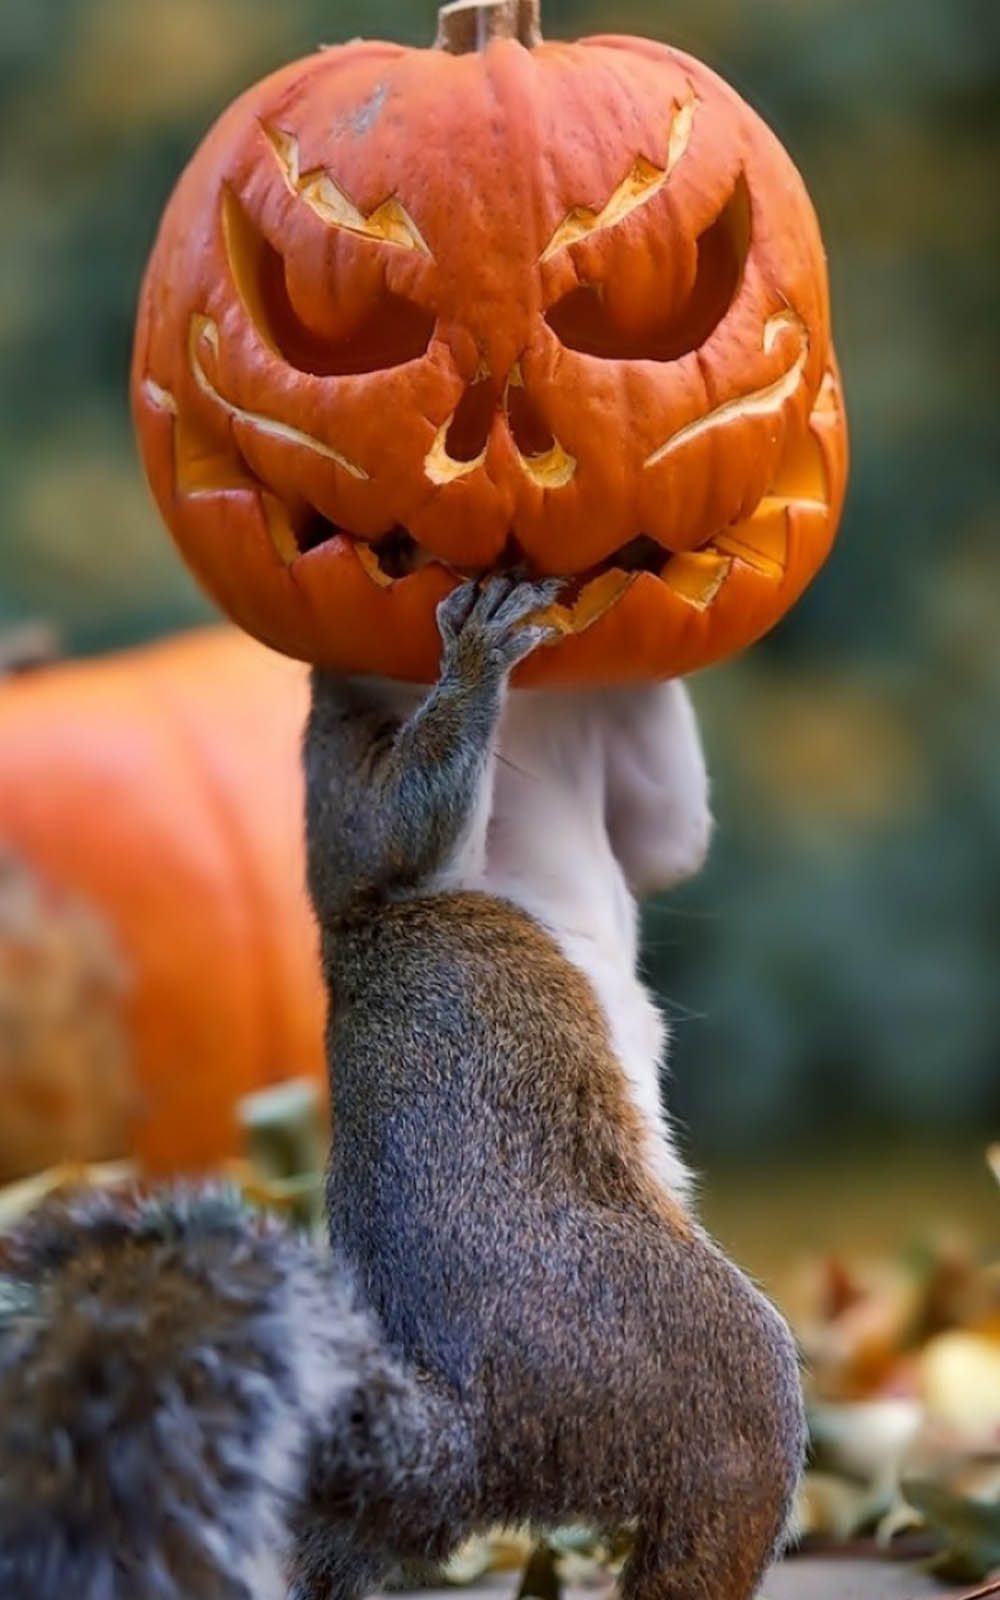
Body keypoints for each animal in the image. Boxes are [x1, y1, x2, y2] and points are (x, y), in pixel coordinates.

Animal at [0, 576, 805, 1600]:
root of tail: (470, 1442)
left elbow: (669, 835)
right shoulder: (339, 777)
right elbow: (397, 834)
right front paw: (476, 654)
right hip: (682, 1354)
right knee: (724, 1487)